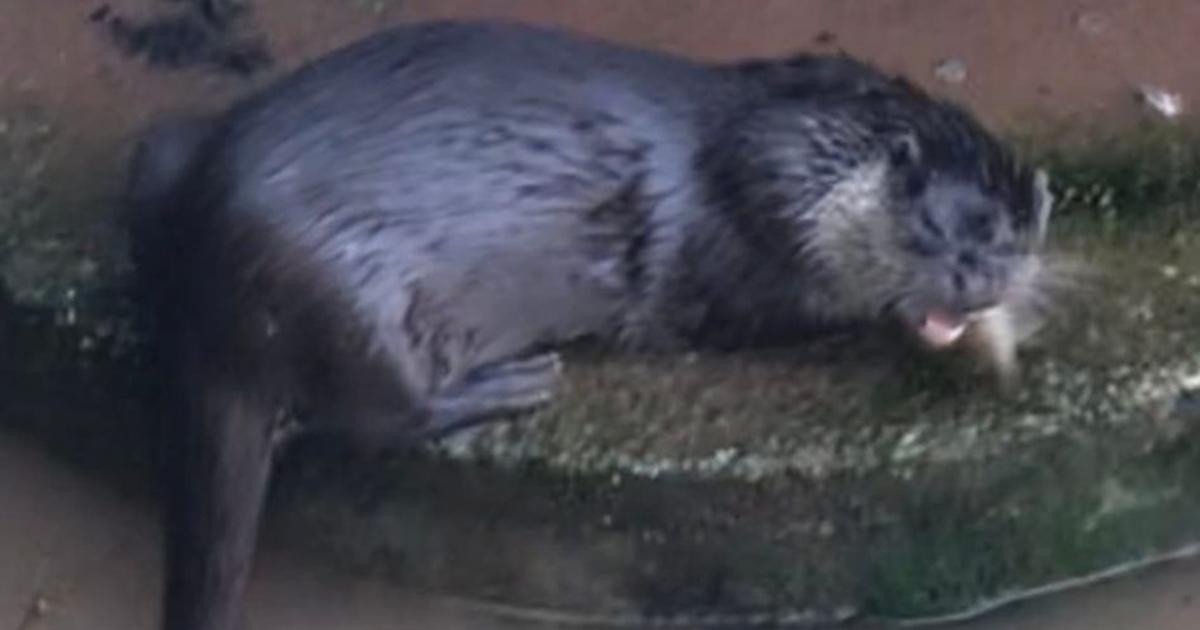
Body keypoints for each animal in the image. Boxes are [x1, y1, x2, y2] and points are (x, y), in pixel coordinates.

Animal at [124, 20, 1059, 630]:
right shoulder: (746, 260)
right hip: (355, 295)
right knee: (378, 413)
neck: (775, 159)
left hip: (172, 164)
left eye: (1016, 235)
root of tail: (215, 287)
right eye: (934, 228)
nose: (982, 280)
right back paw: (512, 382)